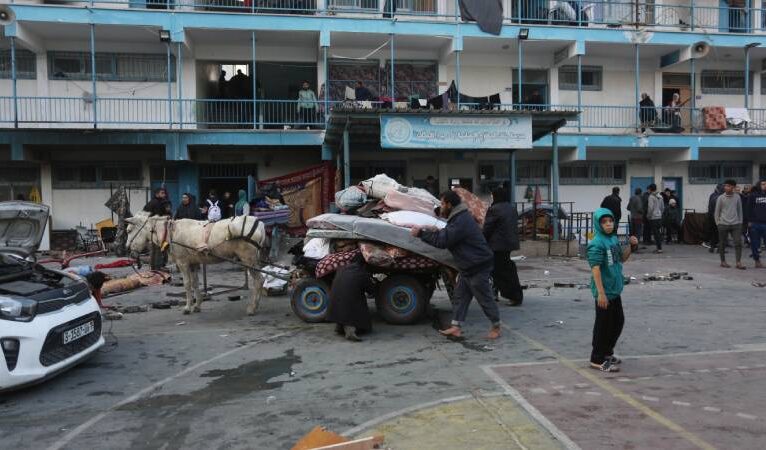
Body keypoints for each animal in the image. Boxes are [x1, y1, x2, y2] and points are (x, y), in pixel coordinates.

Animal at [125, 212, 268, 314]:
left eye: (129, 230)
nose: (127, 249)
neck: (170, 233)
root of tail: (259, 224)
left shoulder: (183, 263)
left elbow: (187, 284)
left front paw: (188, 307)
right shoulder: (193, 263)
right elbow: (195, 283)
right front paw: (197, 305)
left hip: (248, 259)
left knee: (259, 280)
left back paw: (252, 307)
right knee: (260, 280)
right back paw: (256, 305)